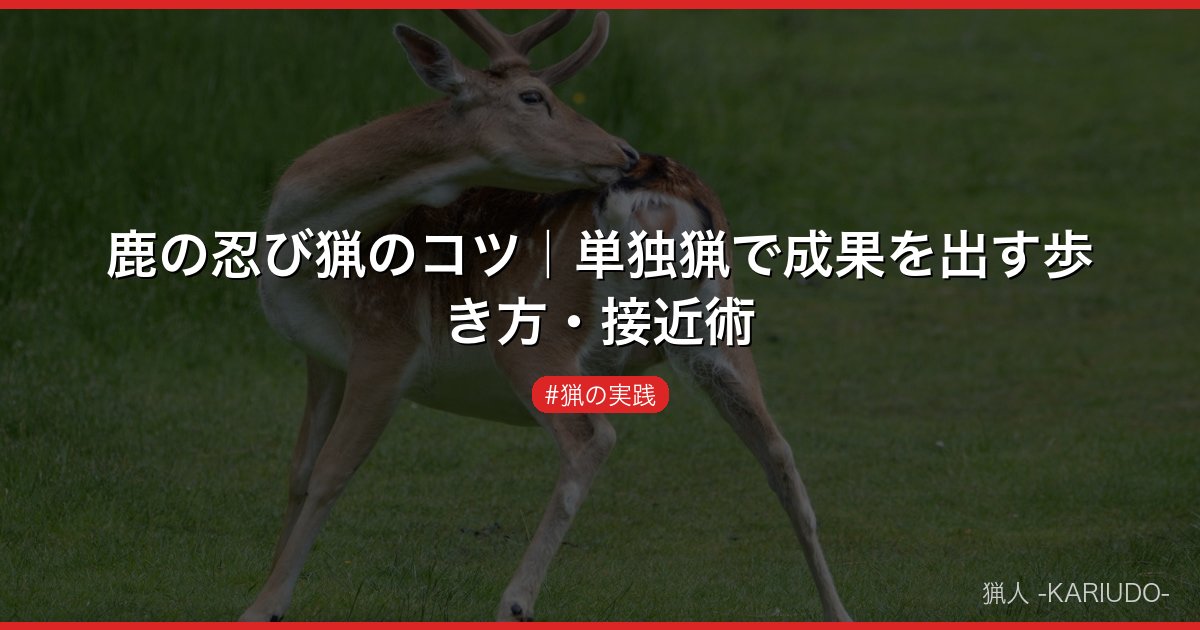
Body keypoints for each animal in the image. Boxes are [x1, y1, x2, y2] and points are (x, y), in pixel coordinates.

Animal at [242, 10, 852, 623]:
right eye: (533, 96)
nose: (624, 151)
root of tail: (660, 196)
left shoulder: (385, 337)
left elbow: (330, 472)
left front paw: (265, 604)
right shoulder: (323, 356)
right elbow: (299, 470)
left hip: (536, 330)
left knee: (592, 437)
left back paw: (514, 601)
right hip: (719, 326)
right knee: (779, 453)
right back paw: (839, 612)